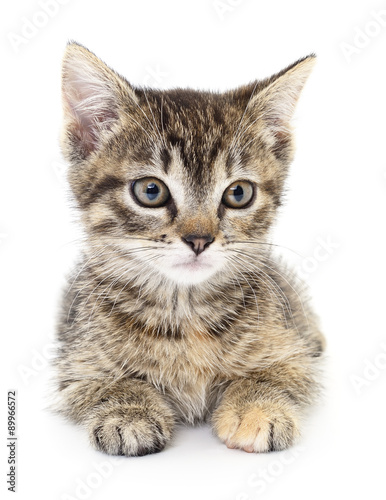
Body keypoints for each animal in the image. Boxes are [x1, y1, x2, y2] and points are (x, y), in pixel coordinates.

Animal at [55, 43, 326, 458]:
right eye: (150, 191)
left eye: (239, 193)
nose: (199, 239)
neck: (185, 313)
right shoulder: (76, 364)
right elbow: (108, 383)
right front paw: (128, 411)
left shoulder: (292, 353)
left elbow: (272, 375)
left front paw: (256, 408)